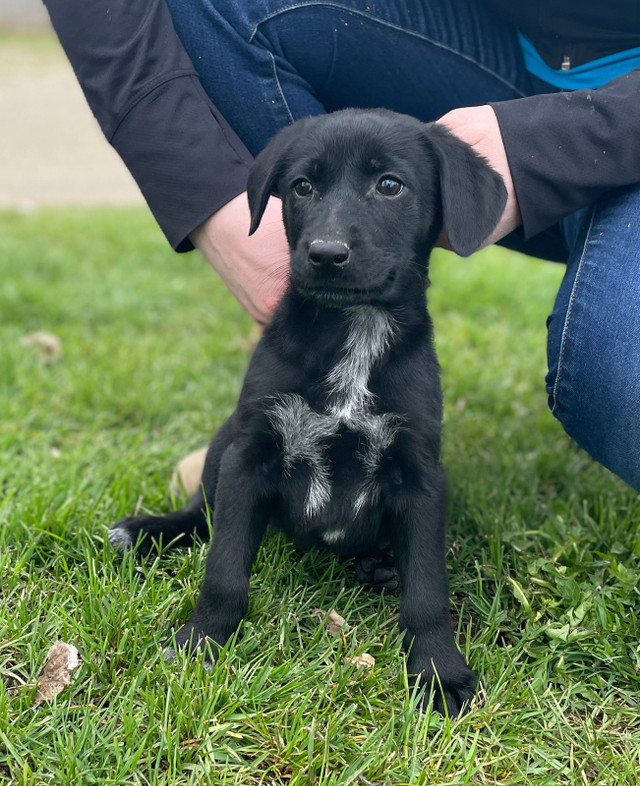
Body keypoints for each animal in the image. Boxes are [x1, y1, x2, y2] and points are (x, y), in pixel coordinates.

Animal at [109, 110, 504, 716]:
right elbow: (224, 568)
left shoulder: (420, 474)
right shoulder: (250, 454)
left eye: (391, 185)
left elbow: (428, 591)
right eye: (302, 187)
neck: (354, 331)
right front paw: (201, 641)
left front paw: (439, 672)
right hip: (225, 440)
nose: (325, 254)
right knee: (201, 515)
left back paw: (380, 564)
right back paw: (146, 530)